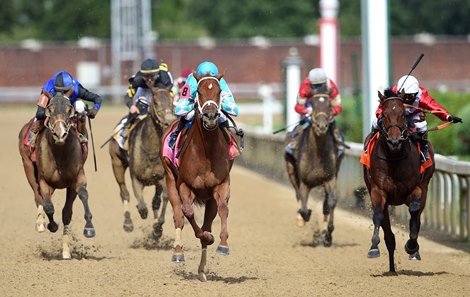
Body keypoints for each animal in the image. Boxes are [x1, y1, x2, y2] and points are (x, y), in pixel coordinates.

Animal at [18, 90, 95, 260]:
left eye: (69, 109)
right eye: (50, 109)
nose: (60, 133)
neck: (60, 152)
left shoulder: (76, 178)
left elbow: (75, 203)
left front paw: (88, 229)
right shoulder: (44, 181)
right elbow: (48, 206)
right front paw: (51, 225)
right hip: (27, 166)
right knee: (37, 196)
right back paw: (40, 223)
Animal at [107, 84, 175, 238]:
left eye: (172, 102)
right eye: (155, 102)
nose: (169, 122)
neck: (151, 151)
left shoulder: (162, 177)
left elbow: (164, 198)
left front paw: (158, 227)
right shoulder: (136, 178)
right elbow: (141, 204)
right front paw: (142, 212)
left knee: (155, 201)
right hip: (117, 163)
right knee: (124, 193)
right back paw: (128, 223)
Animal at [162, 72, 234, 280]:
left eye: (219, 91)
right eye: (199, 92)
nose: (210, 117)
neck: (206, 151)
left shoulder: (221, 184)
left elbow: (223, 209)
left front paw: (222, 244)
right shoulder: (184, 185)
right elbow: (188, 213)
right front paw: (206, 237)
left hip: (209, 197)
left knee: (208, 220)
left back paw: (202, 270)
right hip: (170, 179)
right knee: (179, 215)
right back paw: (178, 252)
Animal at [282, 90, 342, 245]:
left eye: (329, 106)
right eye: (313, 105)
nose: (321, 126)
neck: (317, 155)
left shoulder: (330, 178)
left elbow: (331, 202)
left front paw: (328, 235)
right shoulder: (304, 182)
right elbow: (303, 206)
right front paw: (304, 216)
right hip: (291, 169)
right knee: (298, 195)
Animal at [362, 89, 436, 272]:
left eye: (403, 113)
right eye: (384, 114)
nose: (394, 141)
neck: (394, 157)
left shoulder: (417, 189)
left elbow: (415, 212)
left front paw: (412, 246)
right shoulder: (378, 190)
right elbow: (378, 214)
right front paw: (373, 247)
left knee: (416, 214)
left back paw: (412, 252)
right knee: (388, 230)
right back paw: (391, 267)